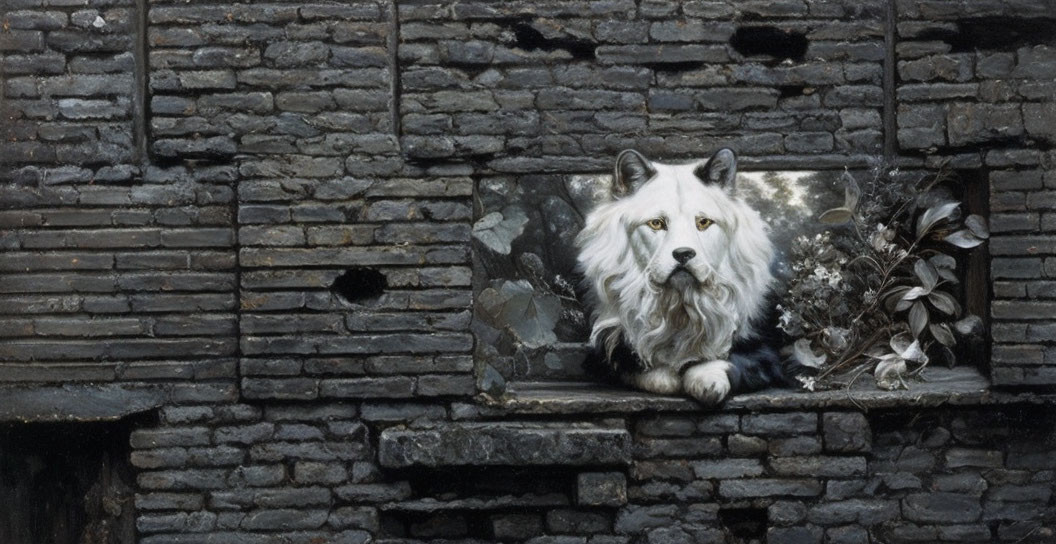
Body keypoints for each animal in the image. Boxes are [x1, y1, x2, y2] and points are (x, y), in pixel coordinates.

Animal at [578, 148, 798, 403]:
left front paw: (705, 378)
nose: (683, 253)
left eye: (703, 222)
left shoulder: (767, 352)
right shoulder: (608, 349)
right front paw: (669, 375)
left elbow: (728, 359)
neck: (680, 305)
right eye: (657, 223)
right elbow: (645, 371)